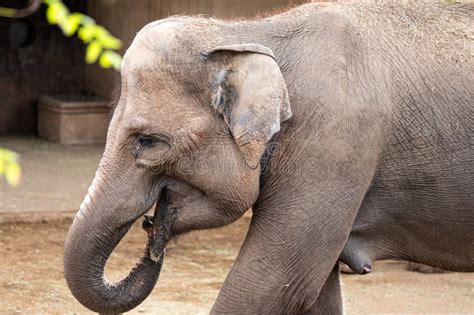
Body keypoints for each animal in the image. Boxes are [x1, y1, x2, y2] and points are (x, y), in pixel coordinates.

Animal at [64, 1, 474, 314]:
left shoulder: (335, 142)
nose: (153, 226)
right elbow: (313, 291)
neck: (249, 33)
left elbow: (272, 281)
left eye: (148, 141)